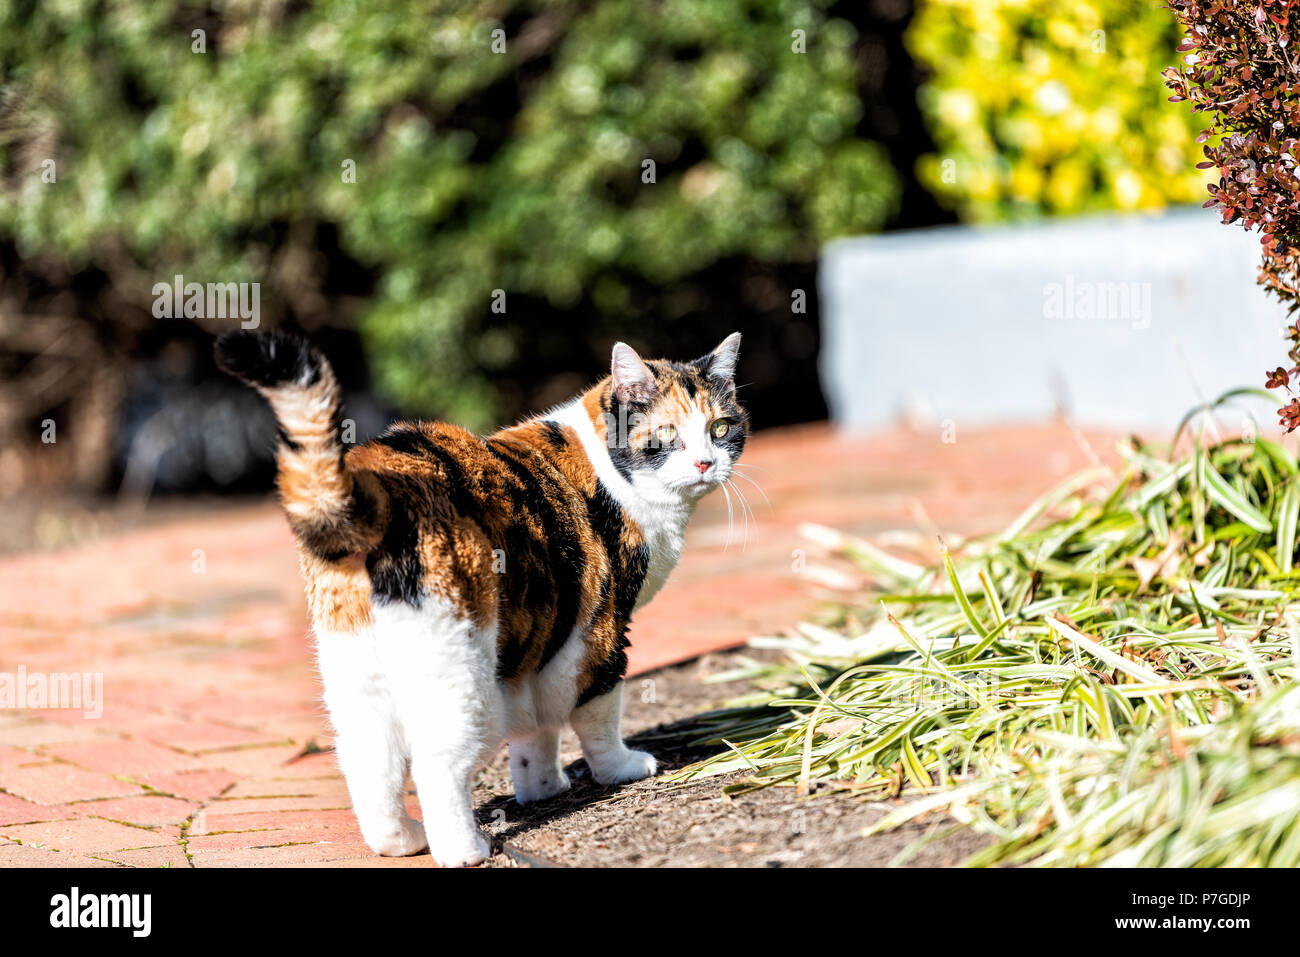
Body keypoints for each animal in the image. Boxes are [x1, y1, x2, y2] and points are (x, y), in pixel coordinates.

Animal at [217, 328, 748, 868]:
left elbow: (536, 724)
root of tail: (377, 483)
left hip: (355, 667)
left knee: (367, 757)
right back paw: (463, 848)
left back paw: (400, 841)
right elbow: (597, 713)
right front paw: (618, 769)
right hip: (458, 664)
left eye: (721, 427)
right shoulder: (599, 632)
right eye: (668, 433)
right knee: (436, 760)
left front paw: (541, 787)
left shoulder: (543, 633)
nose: (706, 462)